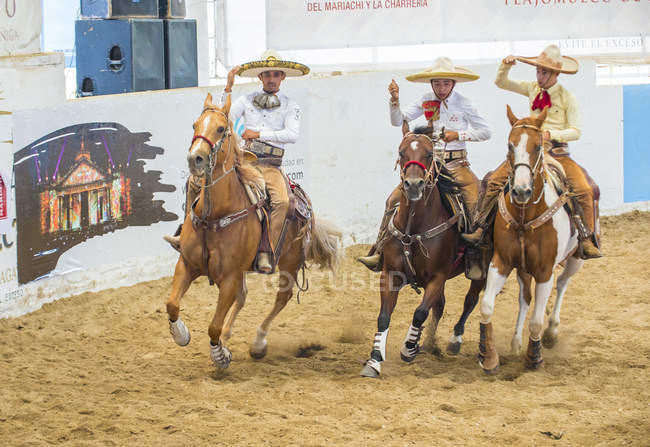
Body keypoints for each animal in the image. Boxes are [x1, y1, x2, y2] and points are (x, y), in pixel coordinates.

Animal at [166, 93, 340, 370]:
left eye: (221, 129)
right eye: (195, 125)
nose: (195, 159)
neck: (215, 216)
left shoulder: (229, 277)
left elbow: (213, 326)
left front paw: (221, 355)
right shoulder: (187, 264)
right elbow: (172, 304)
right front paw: (182, 335)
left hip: (289, 263)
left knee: (282, 298)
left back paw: (258, 343)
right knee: (244, 297)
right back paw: (229, 335)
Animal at [360, 126, 486, 378]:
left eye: (429, 154)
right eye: (401, 152)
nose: (413, 185)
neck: (415, 227)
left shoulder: (437, 277)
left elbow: (420, 313)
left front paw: (408, 349)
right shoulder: (390, 275)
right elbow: (384, 317)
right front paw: (375, 360)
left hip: (482, 272)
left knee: (469, 301)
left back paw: (453, 340)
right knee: (441, 305)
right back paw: (428, 344)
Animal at [476, 107, 584, 376]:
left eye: (537, 146)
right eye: (510, 145)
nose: (521, 191)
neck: (525, 215)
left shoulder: (545, 271)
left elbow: (536, 320)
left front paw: (534, 357)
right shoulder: (501, 262)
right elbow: (487, 306)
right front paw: (488, 356)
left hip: (577, 258)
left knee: (563, 283)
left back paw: (552, 332)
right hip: (523, 269)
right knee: (525, 298)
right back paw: (515, 342)